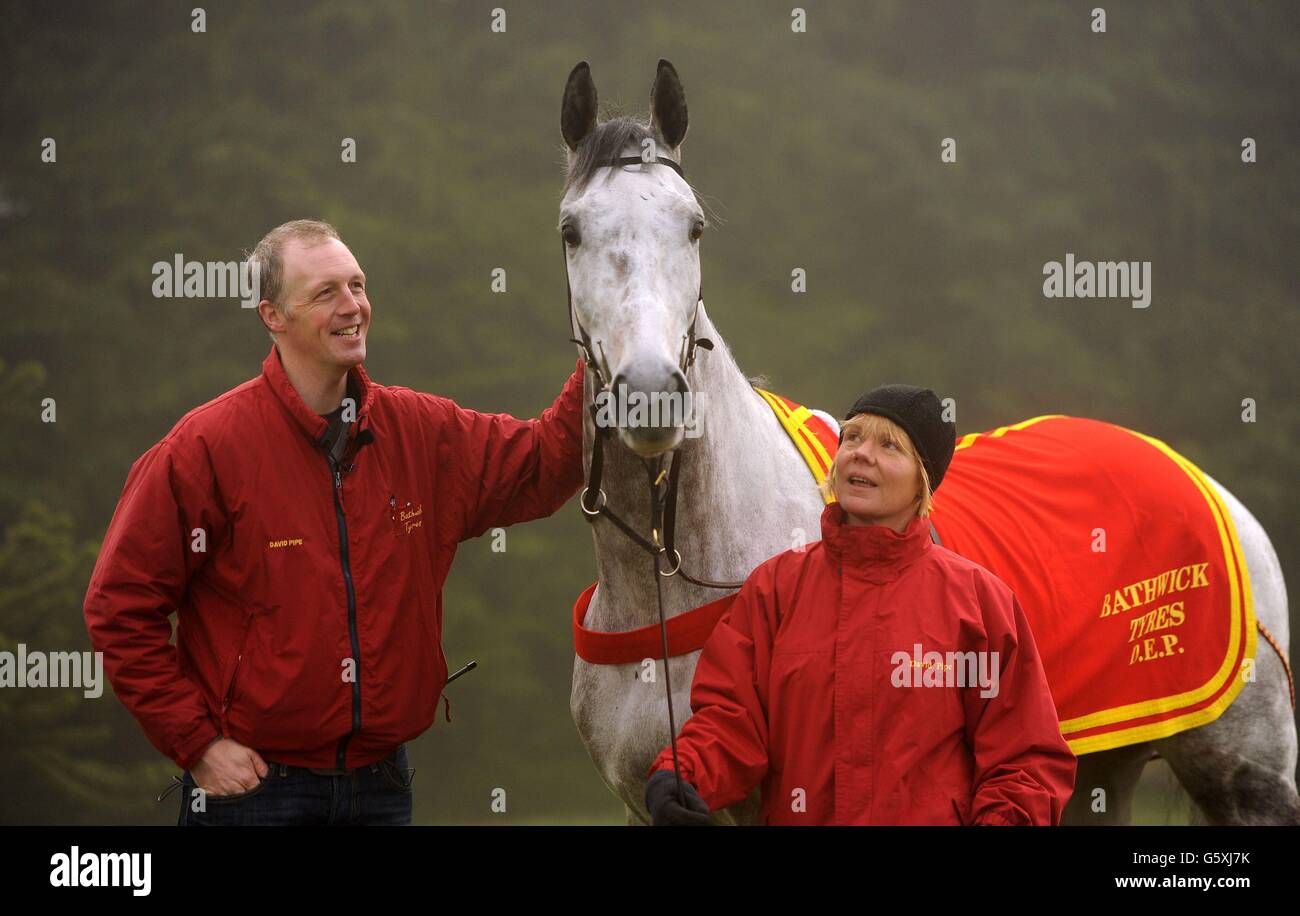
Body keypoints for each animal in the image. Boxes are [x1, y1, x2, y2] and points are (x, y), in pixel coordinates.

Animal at [559, 59, 1298, 826]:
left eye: (694, 227)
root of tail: (1206, 485)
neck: (673, 586)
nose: (651, 391)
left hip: (1246, 775)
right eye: (571, 232)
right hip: (1099, 770)